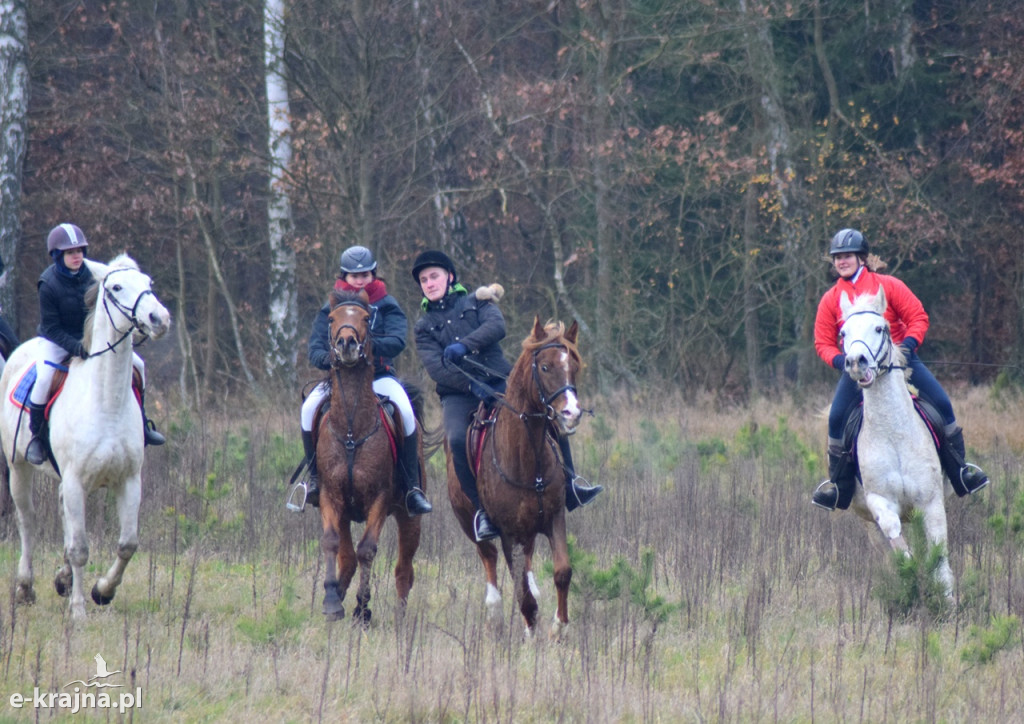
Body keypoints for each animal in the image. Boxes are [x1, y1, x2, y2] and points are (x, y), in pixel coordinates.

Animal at [0, 254, 169, 618]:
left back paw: (62, 579)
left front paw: (102, 590)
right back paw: (25, 587)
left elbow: (127, 544)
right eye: (117, 287)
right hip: (18, 468)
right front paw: (78, 610)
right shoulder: (76, 480)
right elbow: (80, 548)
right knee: (28, 522)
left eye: (148, 283)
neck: (106, 404)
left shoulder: (129, 480)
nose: (158, 318)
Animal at [315, 288, 419, 622]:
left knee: (404, 569)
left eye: (364, 318)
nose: (346, 344)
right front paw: (332, 602)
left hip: (409, 517)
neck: (351, 430)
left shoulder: (380, 499)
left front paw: (363, 607)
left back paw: (400, 617)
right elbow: (331, 543)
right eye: (331, 319)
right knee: (346, 557)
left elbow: (368, 550)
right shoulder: (331, 496)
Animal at [448, 317, 585, 639]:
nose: (571, 413)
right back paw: (494, 612)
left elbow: (562, 572)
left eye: (574, 366)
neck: (527, 460)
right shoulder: (509, 533)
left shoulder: (554, 518)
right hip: (470, 521)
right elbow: (523, 594)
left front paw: (558, 627)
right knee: (489, 558)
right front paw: (531, 634)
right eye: (545, 367)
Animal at [839, 288, 950, 602]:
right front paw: (910, 571)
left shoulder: (931, 502)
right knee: (887, 549)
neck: (893, 434)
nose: (855, 362)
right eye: (843, 333)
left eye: (880, 328)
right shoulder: (880, 502)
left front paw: (948, 600)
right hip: (869, 523)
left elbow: (940, 556)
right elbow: (896, 539)